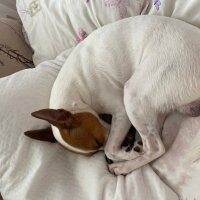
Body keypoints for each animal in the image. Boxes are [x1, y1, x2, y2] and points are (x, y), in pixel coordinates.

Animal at [25, 15, 200, 175]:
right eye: (93, 151)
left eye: (97, 141)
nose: (106, 161)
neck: (76, 90)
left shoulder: (121, 111)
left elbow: (109, 149)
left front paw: (126, 156)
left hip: (133, 95)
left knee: (156, 148)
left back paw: (125, 166)